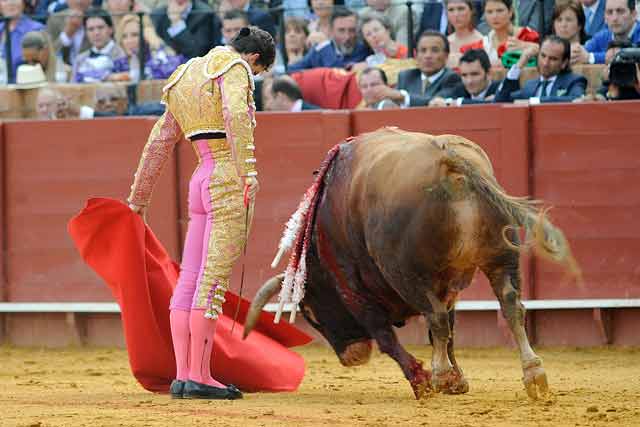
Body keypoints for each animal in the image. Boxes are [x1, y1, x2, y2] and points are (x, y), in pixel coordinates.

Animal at [244, 128, 580, 402]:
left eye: (311, 315)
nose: (351, 357)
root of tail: (450, 161)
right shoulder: (448, 286)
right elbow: (449, 330)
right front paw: (457, 381)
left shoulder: (352, 287)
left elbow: (388, 336)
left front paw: (425, 381)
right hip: (500, 258)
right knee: (510, 307)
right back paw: (533, 374)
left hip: (407, 272)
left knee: (436, 319)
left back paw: (439, 376)